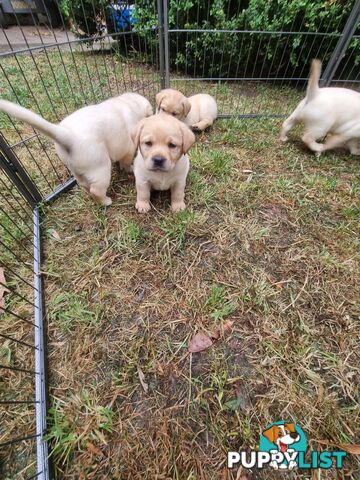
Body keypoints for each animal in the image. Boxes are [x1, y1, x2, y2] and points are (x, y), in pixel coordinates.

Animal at [0, 93, 153, 204]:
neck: (129, 103)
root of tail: (67, 135)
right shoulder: (128, 148)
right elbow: (125, 162)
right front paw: (129, 168)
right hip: (100, 167)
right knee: (96, 189)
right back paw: (106, 201)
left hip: (77, 169)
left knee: (84, 184)